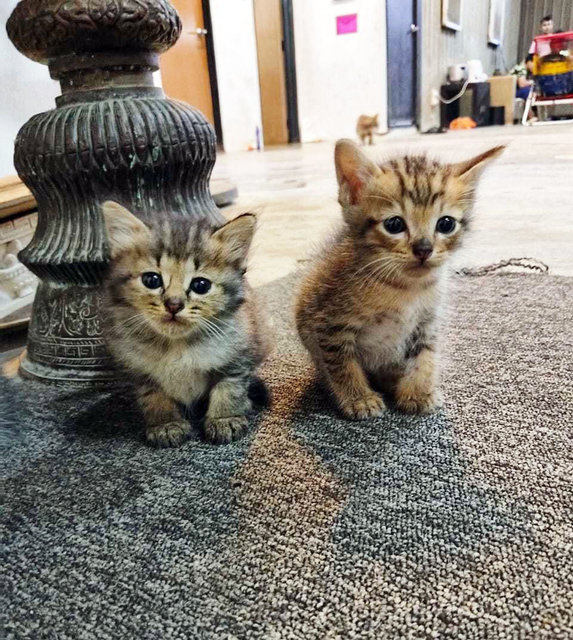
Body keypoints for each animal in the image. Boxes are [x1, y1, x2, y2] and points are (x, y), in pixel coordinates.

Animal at [101, 202, 272, 448]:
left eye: (201, 285)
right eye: (151, 280)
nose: (174, 305)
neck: (176, 345)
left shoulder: (237, 356)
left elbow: (229, 389)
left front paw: (224, 419)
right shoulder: (140, 371)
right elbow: (154, 398)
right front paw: (166, 424)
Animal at [298, 140, 502, 420]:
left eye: (446, 224)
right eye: (394, 224)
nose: (424, 249)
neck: (406, 289)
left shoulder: (428, 323)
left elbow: (426, 356)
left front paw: (418, 391)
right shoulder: (328, 324)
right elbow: (342, 365)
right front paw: (359, 398)